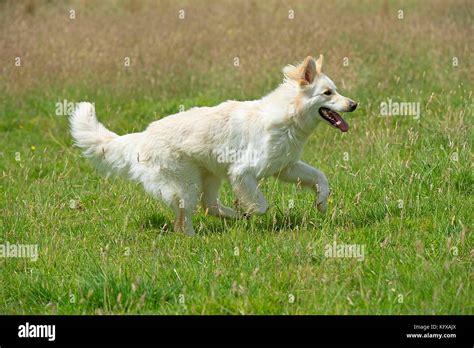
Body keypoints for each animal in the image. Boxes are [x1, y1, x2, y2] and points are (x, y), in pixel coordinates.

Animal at [70, 55, 358, 235]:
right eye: (327, 93)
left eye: (336, 90)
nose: (354, 104)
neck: (288, 116)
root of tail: (141, 136)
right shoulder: (242, 171)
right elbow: (261, 204)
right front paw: (248, 210)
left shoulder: (286, 167)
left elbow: (320, 178)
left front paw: (321, 203)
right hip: (186, 186)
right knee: (184, 221)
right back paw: (195, 238)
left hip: (209, 178)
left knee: (208, 207)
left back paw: (231, 217)